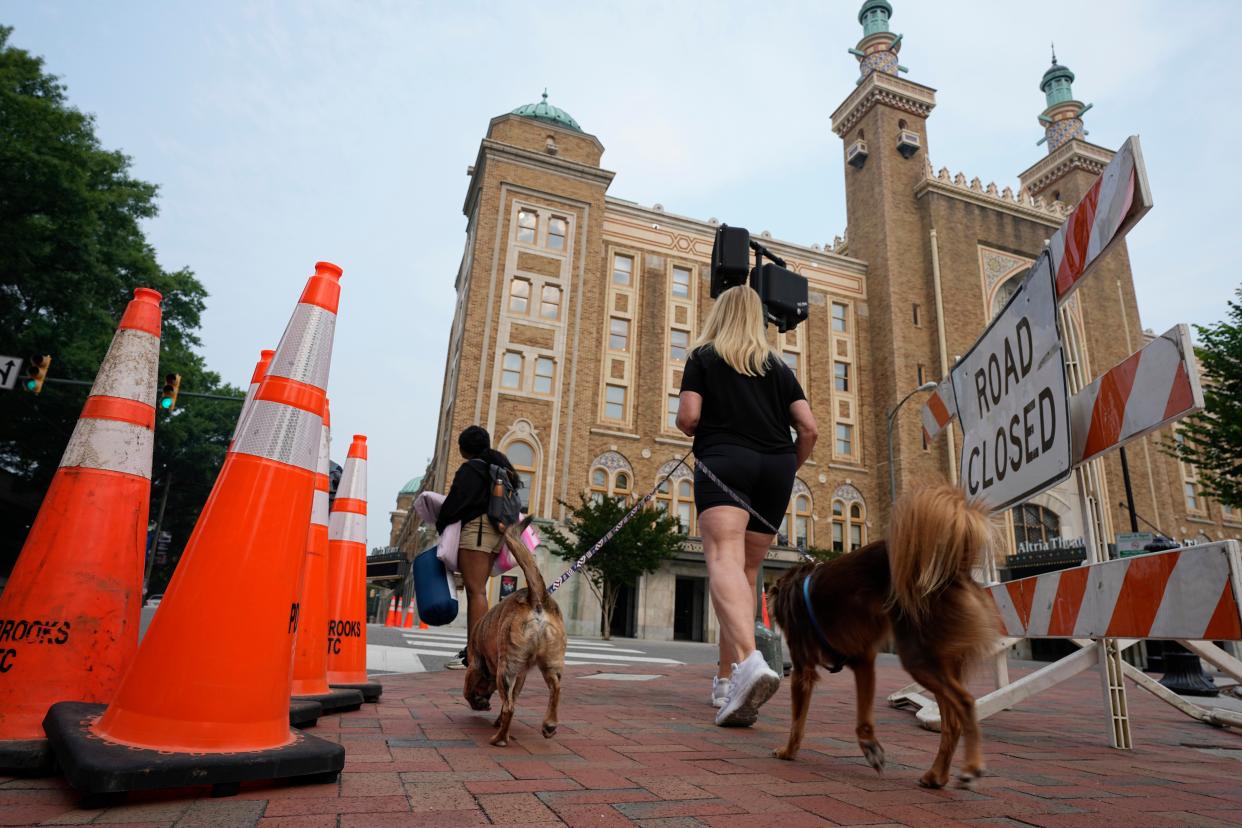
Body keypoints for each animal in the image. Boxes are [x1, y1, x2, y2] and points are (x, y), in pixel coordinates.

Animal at [462, 513, 568, 749]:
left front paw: (477, 702)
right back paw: (549, 725)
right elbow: (512, 698)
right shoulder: (520, 676)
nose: (484, 702)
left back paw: (500, 739)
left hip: (507, 668)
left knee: (510, 708)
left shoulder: (476, 664)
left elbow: (467, 690)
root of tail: (536, 598)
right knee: (555, 689)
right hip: (551, 663)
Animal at [765, 486, 998, 789]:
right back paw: (936, 775)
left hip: (918, 657)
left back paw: (970, 767)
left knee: (966, 702)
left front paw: (788, 751)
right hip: (937, 661)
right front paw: (870, 747)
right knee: (952, 722)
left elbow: (797, 721)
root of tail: (953, 568)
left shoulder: (803, 670)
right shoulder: (863, 662)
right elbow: (863, 718)